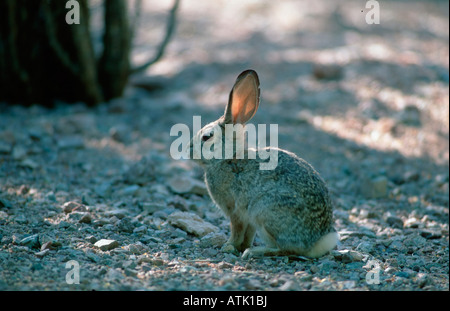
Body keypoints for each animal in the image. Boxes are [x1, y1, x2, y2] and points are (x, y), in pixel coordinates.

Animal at [188, 69, 340, 260]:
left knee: (287, 249)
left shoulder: (235, 210)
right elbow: (248, 233)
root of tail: (317, 242)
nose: (188, 150)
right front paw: (241, 246)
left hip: (265, 211)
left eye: (206, 137)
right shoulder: (248, 217)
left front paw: (228, 246)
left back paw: (255, 251)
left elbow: (236, 230)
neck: (228, 158)